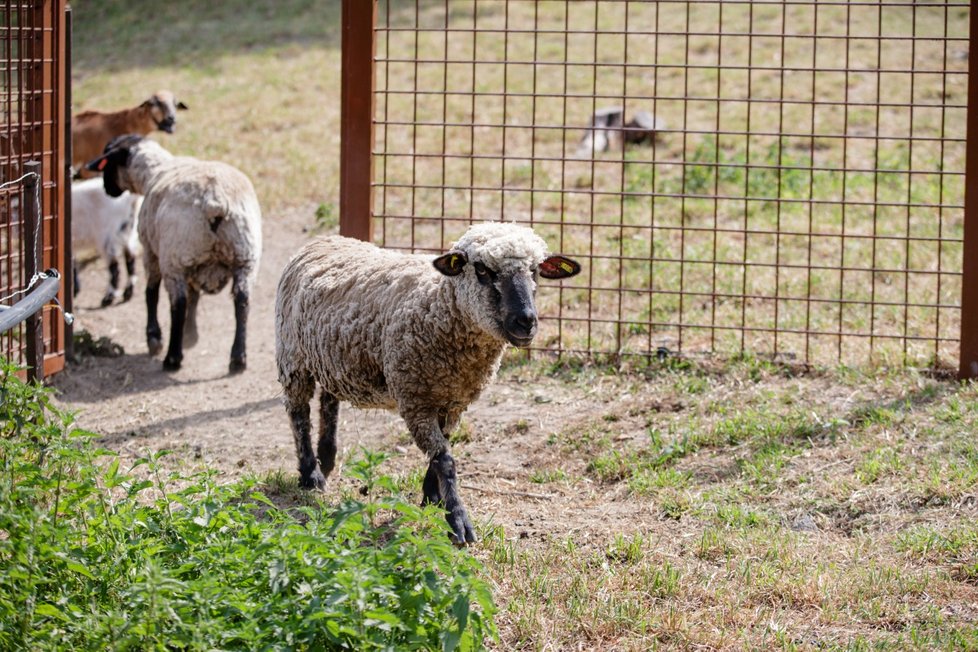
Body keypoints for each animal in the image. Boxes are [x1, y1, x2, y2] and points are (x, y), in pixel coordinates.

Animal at [69, 177, 142, 306]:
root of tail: (131, 199)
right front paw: (75, 290)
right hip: (127, 232)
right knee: (130, 261)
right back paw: (127, 293)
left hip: (108, 237)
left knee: (115, 269)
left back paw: (109, 297)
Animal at [86, 135, 262, 374]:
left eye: (108, 163)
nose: (107, 189)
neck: (154, 171)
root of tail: (215, 202)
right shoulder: (194, 263)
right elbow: (195, 295)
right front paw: (191, 334)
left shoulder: (151, 250)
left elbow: (151, 293)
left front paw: (154, 338)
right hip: (245, 256)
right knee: (242, 300)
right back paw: (238, 358)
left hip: (175, 257)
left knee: (177, 303)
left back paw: (172, 357)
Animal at [274, 222, 580, 544]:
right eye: (482, 269)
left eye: (535, 270)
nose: (526, 321)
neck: (439, 305)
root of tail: (325, 240)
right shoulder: (415, 400)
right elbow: (444, 459)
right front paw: (457, 520)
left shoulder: (453, 401)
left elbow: (442, 447)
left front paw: (432, 497)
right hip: (292, 356)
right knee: (298, 413)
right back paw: (311, 474)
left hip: (331, 358)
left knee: (329, 400)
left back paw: (327, 457)